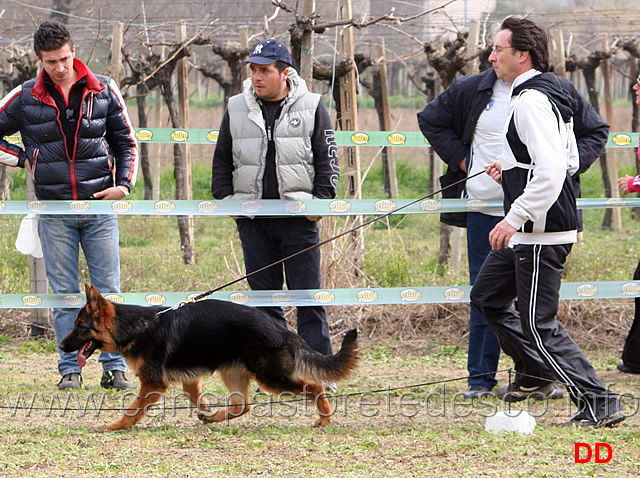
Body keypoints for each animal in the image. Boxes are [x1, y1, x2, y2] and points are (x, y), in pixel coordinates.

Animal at [60, 286, 358, 432]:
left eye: (79, 326)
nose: (62, 345)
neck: (136, 326)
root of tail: (282, 329)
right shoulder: (190, 380)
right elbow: (195, 398)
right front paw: (206, 411)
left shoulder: (153, 385)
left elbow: (133, 409)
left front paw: (116, 425)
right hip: (234, 373)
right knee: (242, 405)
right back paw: (214, 418)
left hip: (271, 377)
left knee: (315, 386)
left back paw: (324, 419)